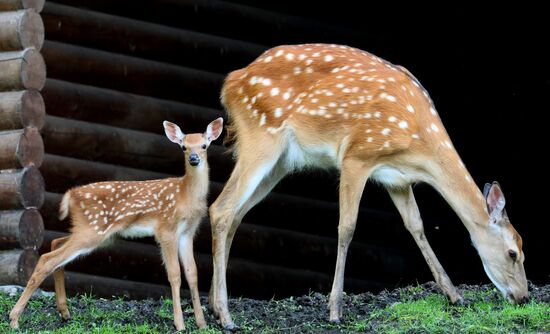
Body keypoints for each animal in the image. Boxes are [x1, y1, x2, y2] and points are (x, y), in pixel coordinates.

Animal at [9, 118, 224, 332]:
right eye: (183, 147)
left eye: (204, 145)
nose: (194, 158)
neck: (185, 196)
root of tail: (71, 194)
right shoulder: (166, 228)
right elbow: (175, 275)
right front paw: (179, 324)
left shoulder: (188, 232)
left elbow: (192, 274)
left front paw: (202, 324)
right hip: (93, 228)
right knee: (47, 259)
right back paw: (14, 318)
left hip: (94, 231)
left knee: (56, 246)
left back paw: (64, 312)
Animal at [210, 43, 532, 328]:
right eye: (513, 253)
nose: (523, 297)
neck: (419, 142)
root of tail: (231, 82)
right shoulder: (357, 156)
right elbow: (347, 228)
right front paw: (335, 310)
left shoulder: (397, 178)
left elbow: (416, 225)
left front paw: (454, 295)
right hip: (261, 137)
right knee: (221, 209)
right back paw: (226, 317)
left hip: (280, 163)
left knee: (236, 214)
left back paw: (214, 307)